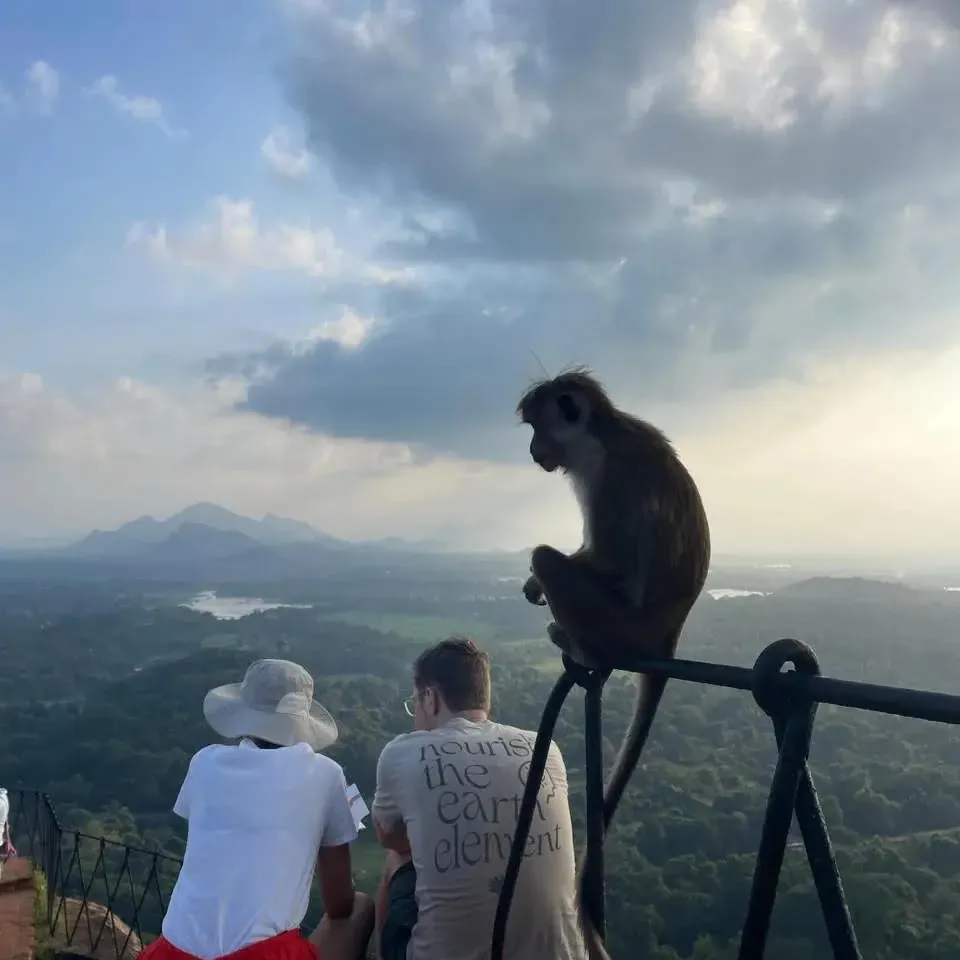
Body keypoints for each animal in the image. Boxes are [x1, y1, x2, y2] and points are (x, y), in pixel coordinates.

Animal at [516, 366, 710, 960]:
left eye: (539, 427)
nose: (533, 450)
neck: (601, 432)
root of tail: (666, 638)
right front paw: (532, 588)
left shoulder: (608, 475)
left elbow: (612, 562)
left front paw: (539, 578)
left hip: (618, 627)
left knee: (549, 557)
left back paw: (580, 646)